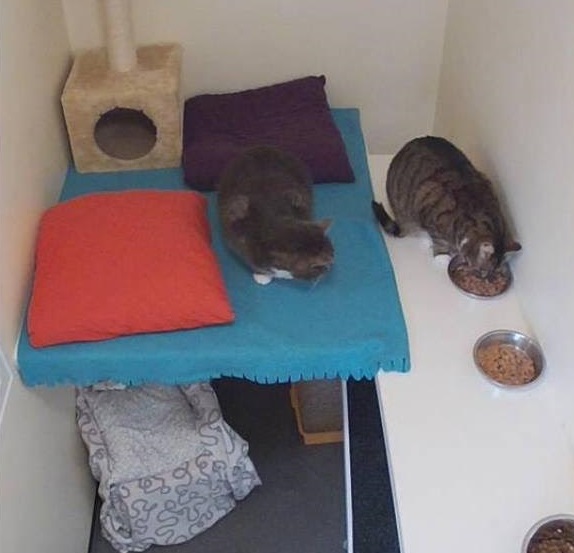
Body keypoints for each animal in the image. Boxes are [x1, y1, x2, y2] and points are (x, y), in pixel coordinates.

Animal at [371, 136, 521, 277]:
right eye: (482, 271)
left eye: (493, 273)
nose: (485, 278)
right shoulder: (428, 208)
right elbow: (438, 239)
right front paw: (442, 257)